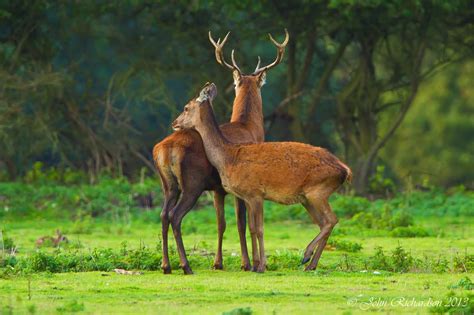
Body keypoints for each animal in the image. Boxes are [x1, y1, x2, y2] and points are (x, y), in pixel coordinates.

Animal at [154, 30, 290, 276]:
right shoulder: (239, 187)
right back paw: (186, 265)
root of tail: (165, 150)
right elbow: (243, 224)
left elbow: (221, 223)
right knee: (175, 216)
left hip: (168, 184)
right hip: (193, 183)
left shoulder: (218, 189)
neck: (249, 127)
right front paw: (250, 263)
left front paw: (218, 262)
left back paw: (166, 265)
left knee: (163, 215)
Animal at [172, 82, 350, 272]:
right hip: (306, 198)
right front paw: (256, 264)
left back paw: (306, 255)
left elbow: (260, 229)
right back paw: (310, 264)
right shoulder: (248, 197)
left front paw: (262, 266)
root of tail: (345, 170)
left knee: (331, 220)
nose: (174, 123)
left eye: (186, 107)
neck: (228, 158)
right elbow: (252, 228)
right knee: (323, 223)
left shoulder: (255, 193)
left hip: (318, 190)